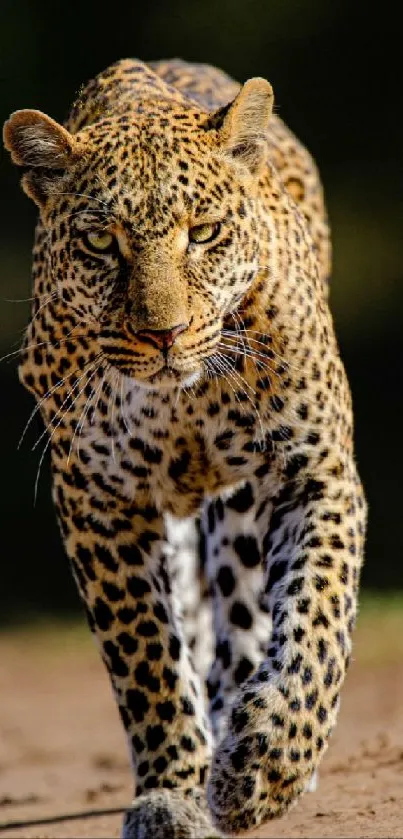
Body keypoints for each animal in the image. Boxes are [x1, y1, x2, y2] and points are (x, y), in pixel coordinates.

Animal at [3, 55, 368, 836]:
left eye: (202, 233)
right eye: (101, 243)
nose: (163, 335)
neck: (185, 396)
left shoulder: (313, 469)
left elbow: (317, 621)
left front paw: (268, 764)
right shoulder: (99, 497)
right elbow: (145, 656)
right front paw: (172, 790)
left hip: (240, 508)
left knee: (247, 615)